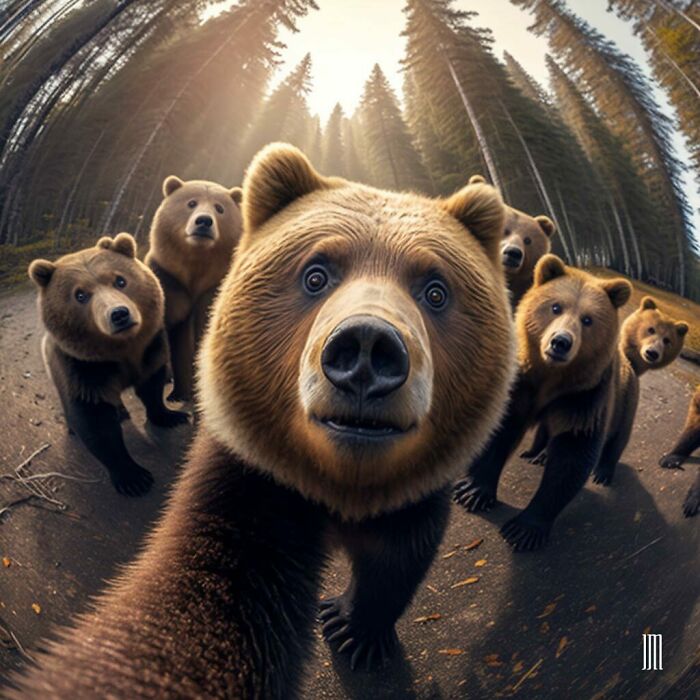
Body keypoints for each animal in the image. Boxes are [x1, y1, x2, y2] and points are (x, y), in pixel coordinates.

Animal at [28, 233, 188, 496]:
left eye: (120, 280)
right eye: (80, 295)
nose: (119, 314)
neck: (122, 350)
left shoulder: (150, 349)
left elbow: (152, 386)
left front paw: (171, 416)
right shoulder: (84, 368)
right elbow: (95, 421)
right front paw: (134, 478)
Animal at [145, 176, 243, 404]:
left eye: (219, 208)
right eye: (191, 203)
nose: (204, 221)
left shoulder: (214, 289)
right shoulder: (168, 280)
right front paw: (177, 394)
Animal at [454, 254, 631, 551]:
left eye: (588, 319)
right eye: (556, 307)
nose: (561, 342)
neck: (550, 377)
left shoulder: (583, 396)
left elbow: (572, 454)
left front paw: (523, 530)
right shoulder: (521, 383)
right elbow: (500, 431)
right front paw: (473, 492)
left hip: (625, 399)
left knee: (617, 437)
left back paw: (603, 472)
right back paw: (534, 453)